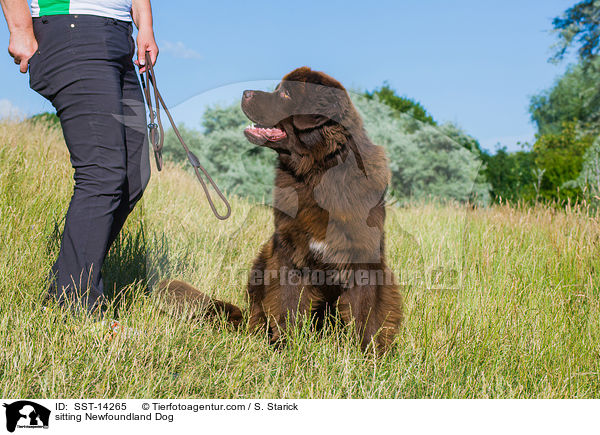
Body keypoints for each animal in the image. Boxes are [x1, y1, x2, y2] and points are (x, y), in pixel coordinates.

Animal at [159, 67, 404, 354]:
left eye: (286, 93)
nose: (245, 92)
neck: (316, 173)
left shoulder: (364, 258)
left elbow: (367, 312)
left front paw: (369, 355)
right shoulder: (289, 252)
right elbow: (288, 302)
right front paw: (287, 347)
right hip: (262, 260)